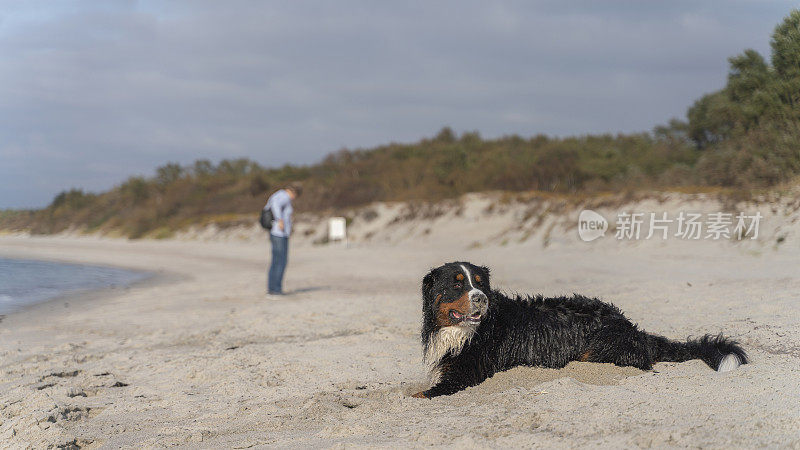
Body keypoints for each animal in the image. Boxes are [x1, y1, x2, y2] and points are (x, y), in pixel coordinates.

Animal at [412, 262, 752, 400]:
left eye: (481, 284)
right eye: (457, 284)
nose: (481, 298)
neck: (465, 332)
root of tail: (632, 327)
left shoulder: (464, 377)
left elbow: (421, 394)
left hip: (601, 347)